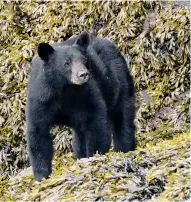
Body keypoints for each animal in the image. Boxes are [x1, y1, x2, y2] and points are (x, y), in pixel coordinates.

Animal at [25, 31, 136, 181]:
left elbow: (97, 123)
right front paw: (41, 176)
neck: (65, 89)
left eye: (84, 60)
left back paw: (124, 149)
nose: (83, 74)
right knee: (79, 139)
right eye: (66, 63)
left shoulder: (87, 94)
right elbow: (38, 132)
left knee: (123, 118)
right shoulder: (41, 98)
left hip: (119, 81)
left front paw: (94, 157)